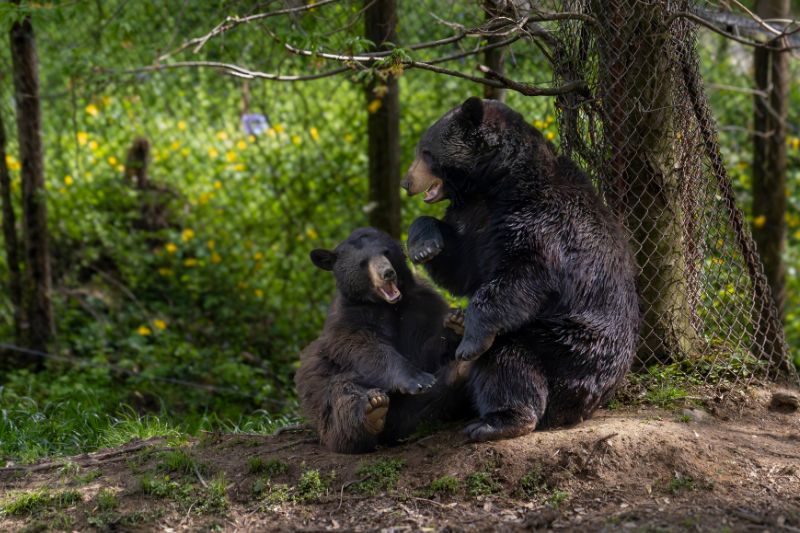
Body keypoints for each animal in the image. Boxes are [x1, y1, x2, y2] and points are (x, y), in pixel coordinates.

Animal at [294, 227, 468, 453]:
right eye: (363, 262)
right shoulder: (350, 319)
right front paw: (417, 379)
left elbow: (428, 349)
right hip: (327, 408)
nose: (388, 273)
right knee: (341, 392)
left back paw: (457, 371)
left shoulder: (422, 304)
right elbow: (367, 348)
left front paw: (456, 323)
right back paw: (371, 412)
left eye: (386, 252)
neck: (388, 305)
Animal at [402, 97, 641, 442]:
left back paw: (496, 420)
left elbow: (521, 274)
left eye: (426, 151)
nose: (406, 183)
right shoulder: (479, 221)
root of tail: (592, 403)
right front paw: (425, 245)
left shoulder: (542, 221)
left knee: (511, 355)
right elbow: (463, 266)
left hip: (573, 345)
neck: (497, 184)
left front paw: (471, 341)